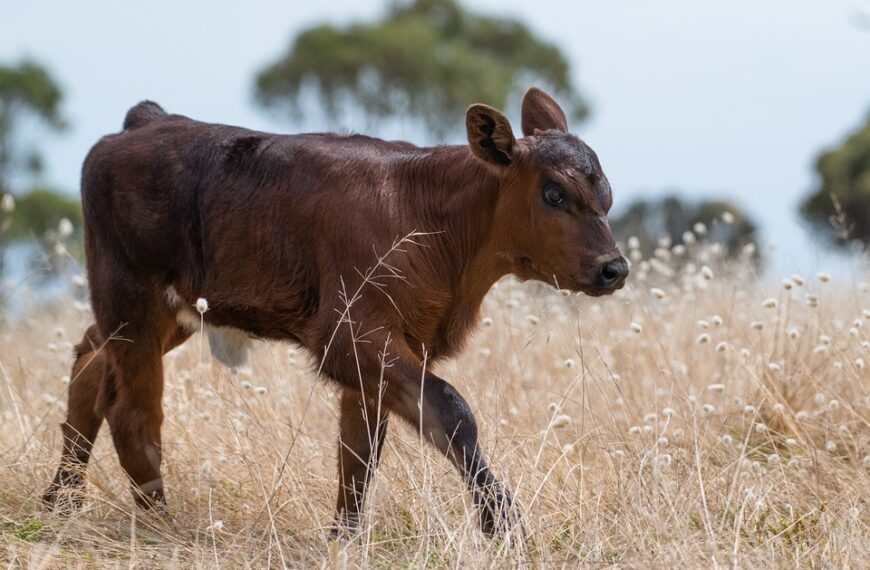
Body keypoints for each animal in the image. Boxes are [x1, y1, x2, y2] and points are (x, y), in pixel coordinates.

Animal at [46, 86, 628, 536]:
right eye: (554, 193)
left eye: (607, 195)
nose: (614, 268)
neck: (430, 215)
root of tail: (149, 120)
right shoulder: (347, 335)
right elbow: (451, 410)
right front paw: (500, 522)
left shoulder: (394, 344)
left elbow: (361, 449)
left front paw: (343, 537)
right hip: (132, 301)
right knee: (133, 411)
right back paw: (159, 524)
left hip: (171, 313)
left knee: (90, 365)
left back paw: (59, 500)